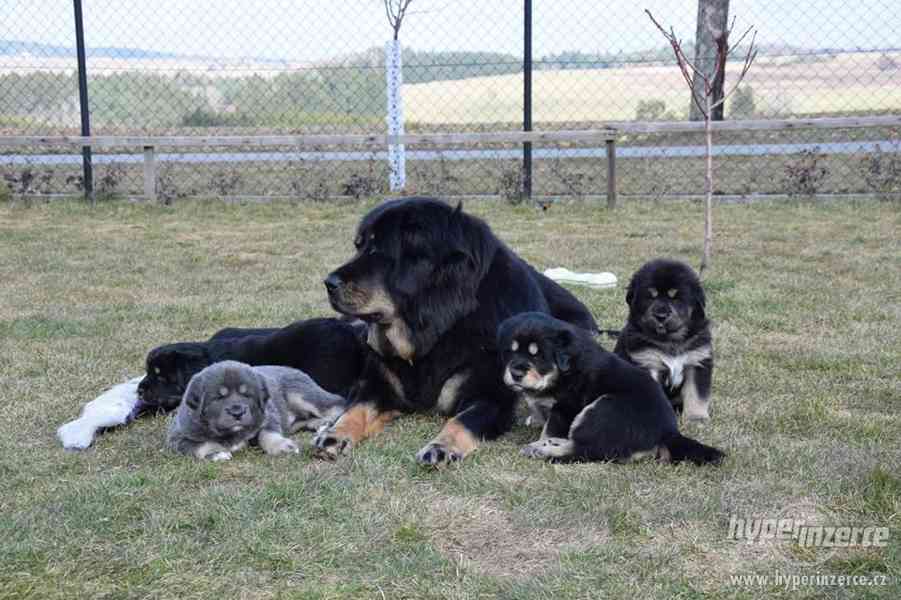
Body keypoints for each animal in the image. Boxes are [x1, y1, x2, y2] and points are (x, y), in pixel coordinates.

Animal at [165, 358, 344, 462]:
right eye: (219, 397)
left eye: (247, 395)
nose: (237, 412)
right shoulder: (177, 438)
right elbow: (201, 445)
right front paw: (217, 453)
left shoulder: (268, 416)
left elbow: (267, 434)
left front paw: (282, 446)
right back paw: (321, 425)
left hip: (301, 394)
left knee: (336, 405)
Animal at [496, 312, 720, 466]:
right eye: (510, 351)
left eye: (538, 356)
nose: (516, 373)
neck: (563, 371)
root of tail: (668, 432)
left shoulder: (565, 406)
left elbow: (549, 428)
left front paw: (542, 438)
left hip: (603, 409)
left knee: (586, 450)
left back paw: (541, 450)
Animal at [608, 258, 712, 422]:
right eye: (651, 296)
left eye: (676, 297)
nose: (661, 316)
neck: (670, 340)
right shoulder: (647, 362)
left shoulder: (697, 361)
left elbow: (696, 394)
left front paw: (696, 418)